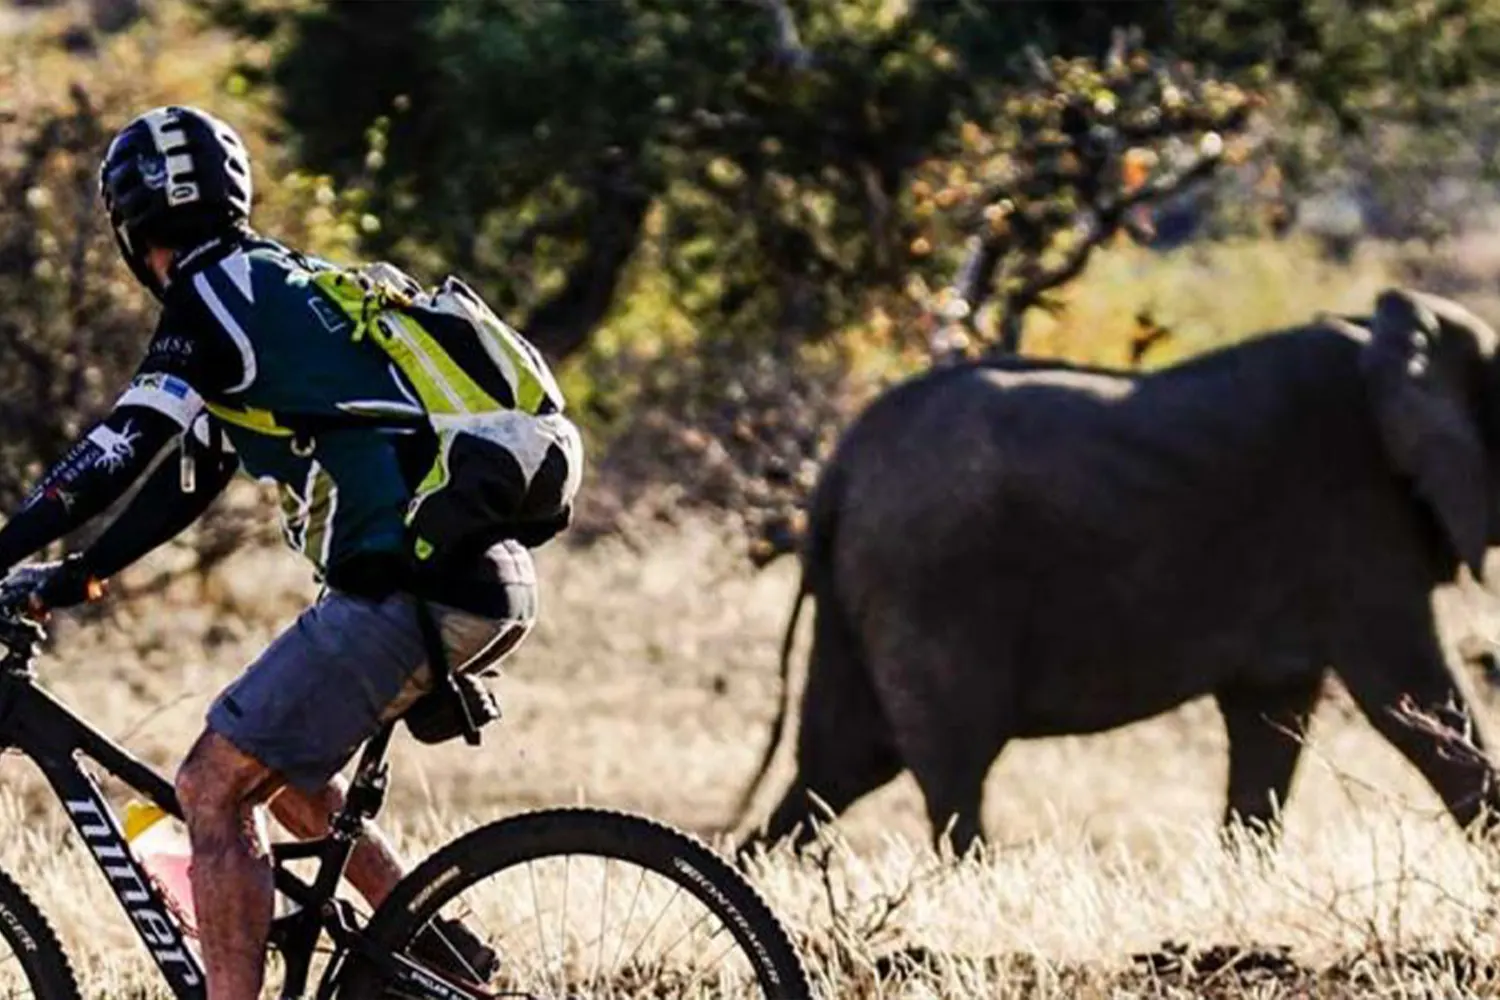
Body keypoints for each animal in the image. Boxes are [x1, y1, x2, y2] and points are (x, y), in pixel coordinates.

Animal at [732, 287, 1500, 851]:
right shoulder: (1355, 524)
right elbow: (1413, 703)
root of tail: (839, 466)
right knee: (948, 769)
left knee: (840, 764)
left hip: (863, 590)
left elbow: (1271, 721)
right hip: (928, 584)